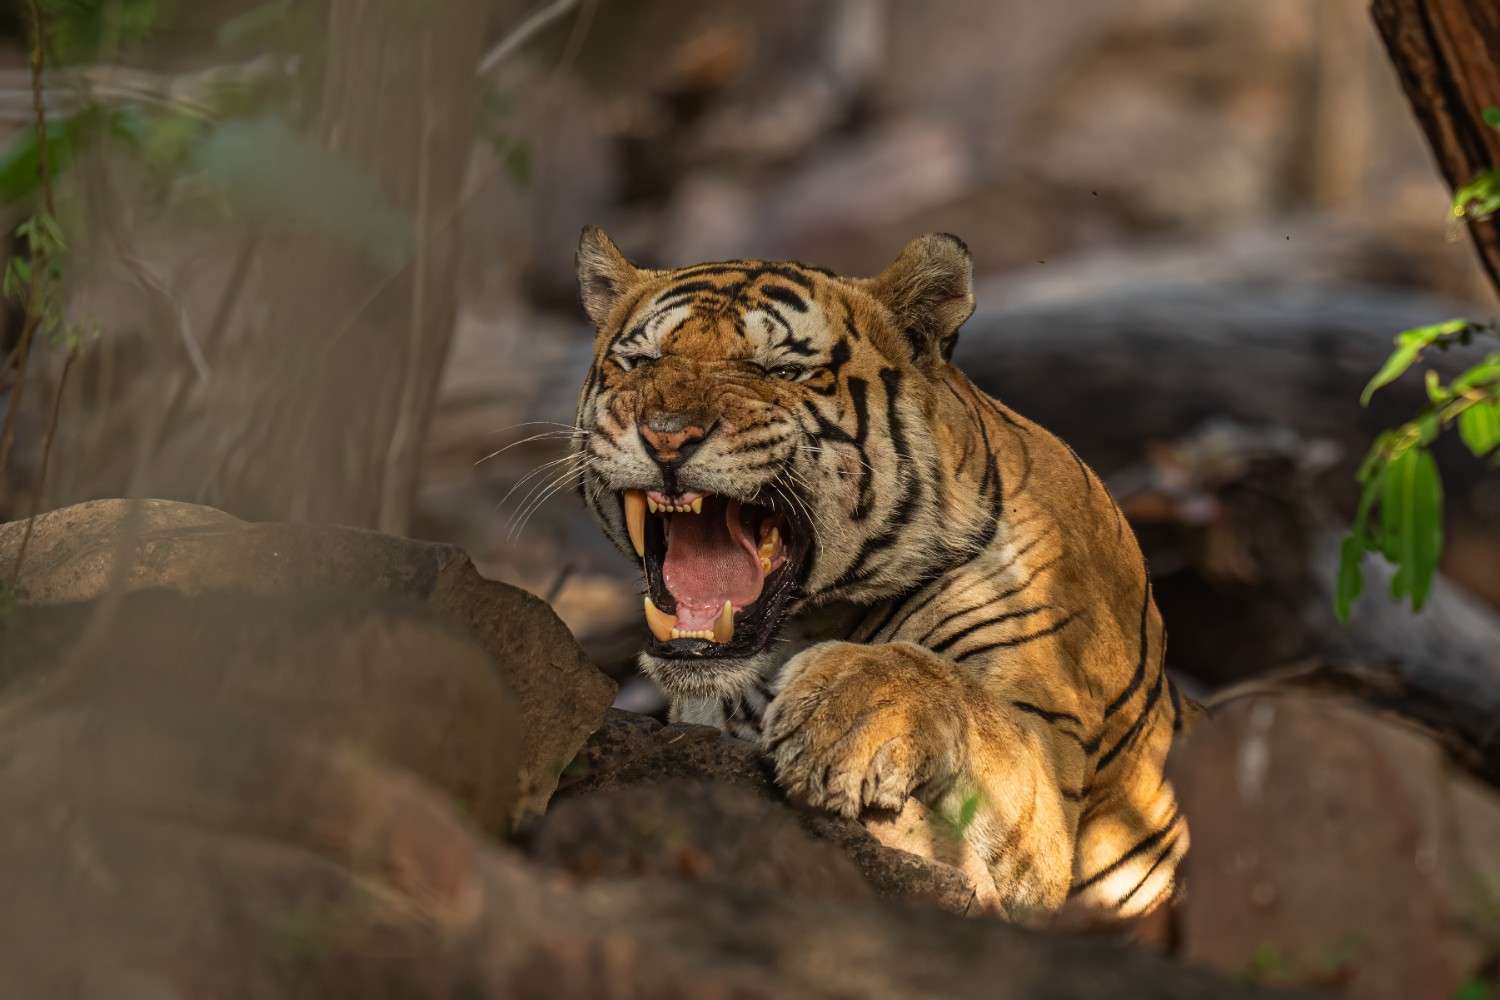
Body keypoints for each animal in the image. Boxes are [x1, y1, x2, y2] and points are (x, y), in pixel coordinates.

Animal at [570, 225, 1200, 921]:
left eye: (782, 372)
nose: (666, 436)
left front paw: (842, 714)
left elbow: (950, 690)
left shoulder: (1047, 764)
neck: (803, 629)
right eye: (639, 362)